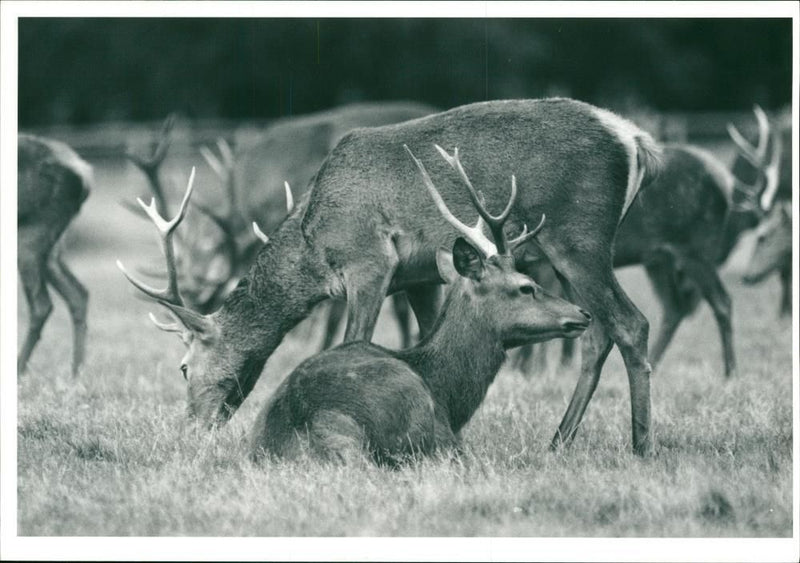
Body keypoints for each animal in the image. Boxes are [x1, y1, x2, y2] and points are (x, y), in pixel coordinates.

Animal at [17, 134, 93, 376]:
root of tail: (84, 173)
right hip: (54, 246)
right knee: (78, 293)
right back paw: (76, 373)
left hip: (31, 233)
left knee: (42, 305)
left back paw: (19, 370)